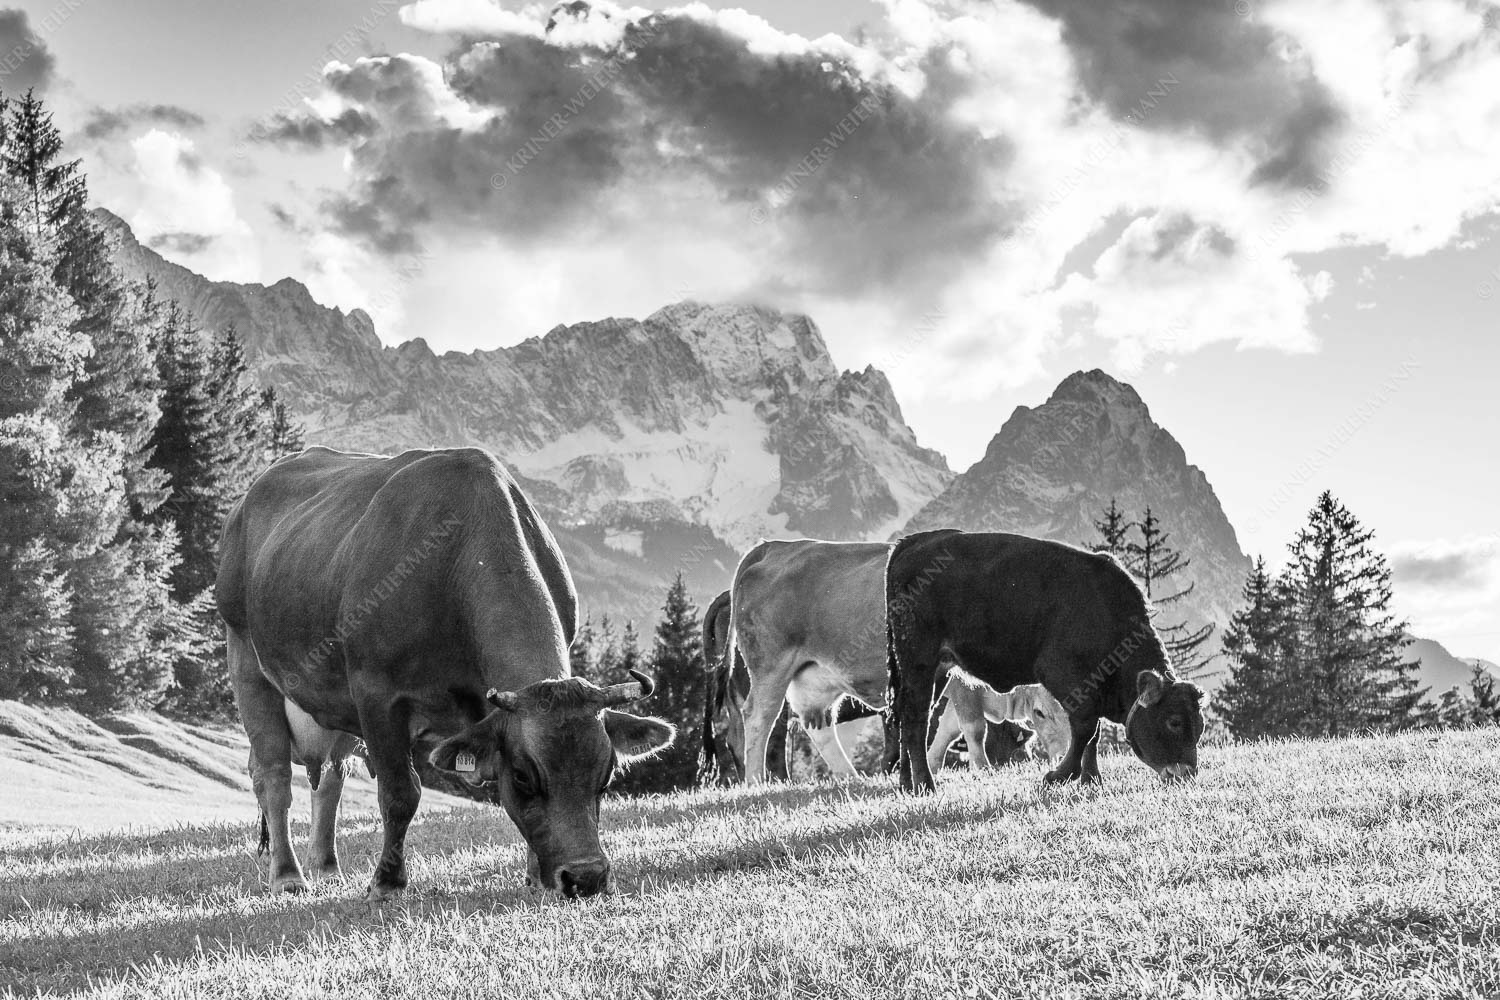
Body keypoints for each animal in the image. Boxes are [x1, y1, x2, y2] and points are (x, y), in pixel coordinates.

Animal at [215, 446, 675, 900]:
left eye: (606, 774)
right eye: (524, 775)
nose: (585, 877)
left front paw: (532, 875)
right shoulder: (375, 693)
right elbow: (400, 792)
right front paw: (387, 882)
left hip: (330, 699)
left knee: (330, 775)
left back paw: (327, 868)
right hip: (247, 659)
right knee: (273, 776)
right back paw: (288, 875)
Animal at [731, 540, 892, 784]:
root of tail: (775, 546)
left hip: (816, 676)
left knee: (818, 725)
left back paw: (851, 778)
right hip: (771, 665)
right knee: (758, 716)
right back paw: (756, 783)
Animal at [926, 679, 1071, 774]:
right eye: (1039, 712)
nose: (1064, 757)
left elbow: (948, 730)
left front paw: (932, 766)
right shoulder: (964, 686)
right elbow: (974, 729)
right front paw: (981, 768)